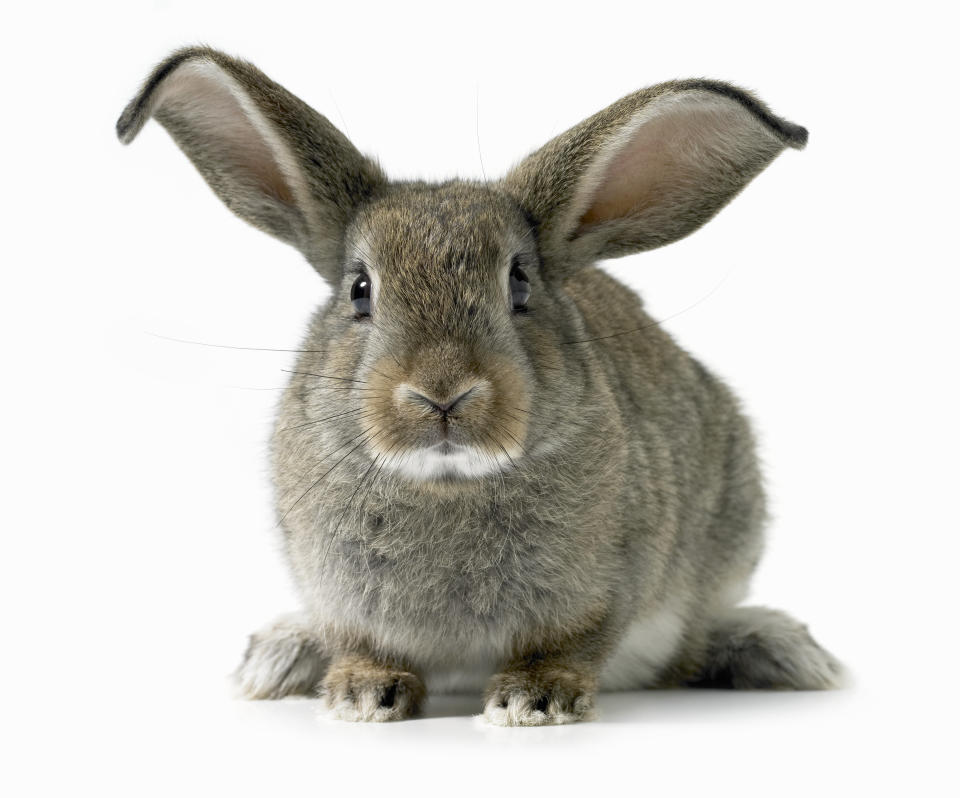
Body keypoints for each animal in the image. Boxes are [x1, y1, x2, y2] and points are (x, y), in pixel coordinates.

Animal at [118, 47, 840, 728]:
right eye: (360, 290)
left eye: (519, 284)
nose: (441, 394)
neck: (447, 482)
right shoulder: (341, 601)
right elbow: (361, 647)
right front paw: (360, 694)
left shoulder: (604, 595)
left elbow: (569, 648)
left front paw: (533, 701)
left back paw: (787, 652)